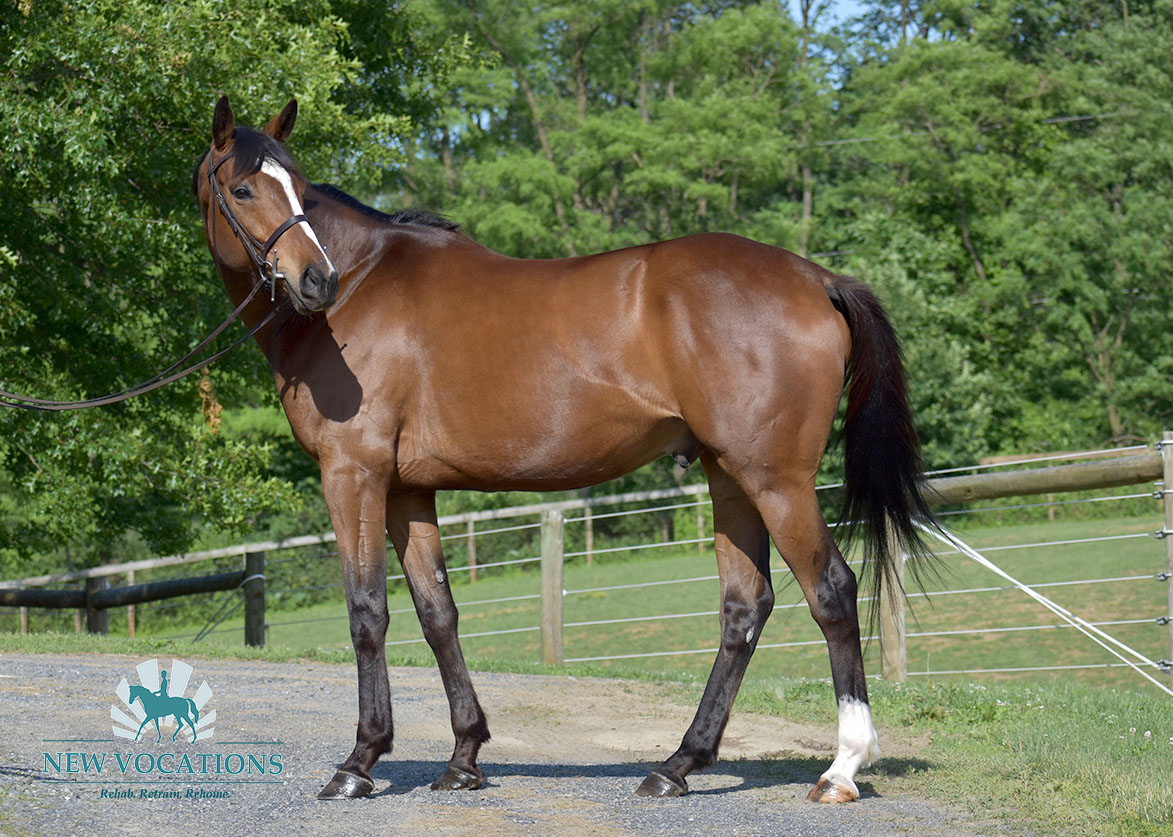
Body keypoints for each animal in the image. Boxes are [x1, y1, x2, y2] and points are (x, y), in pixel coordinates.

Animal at [194, 97, 933, 801]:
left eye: (296, 188)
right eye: (243, 189)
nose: (316, 281)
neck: (365, 289)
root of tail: (816, 278)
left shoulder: (353, 475)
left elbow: (367, 611)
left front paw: (359, 763)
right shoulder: (407, 488)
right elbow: (438, 614)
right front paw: (463, 757)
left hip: (775, 479)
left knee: (831, 592)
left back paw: (840, 768)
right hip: (729, 476)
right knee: (744, 609)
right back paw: (676, 765)